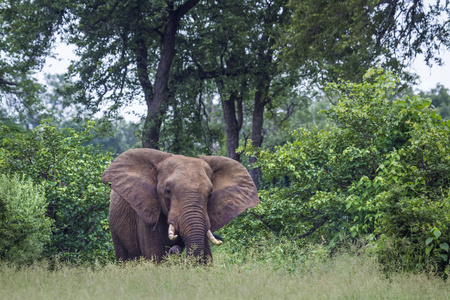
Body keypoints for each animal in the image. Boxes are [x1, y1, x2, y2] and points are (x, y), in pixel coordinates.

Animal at [100, 149, 258, 262]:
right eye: (167, 191)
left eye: (210, 194)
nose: (176, 248)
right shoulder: (146, 211)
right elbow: (156, 257)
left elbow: (206, 258)